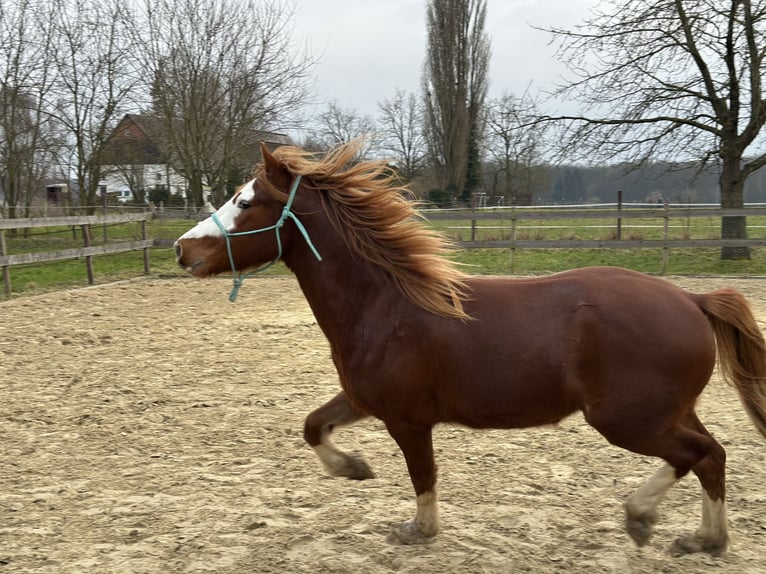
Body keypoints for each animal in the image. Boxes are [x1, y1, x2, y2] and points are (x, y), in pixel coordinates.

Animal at [177, 141, 766, 560]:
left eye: (245, 202)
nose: (184, 250)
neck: (384, 306)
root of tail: (692, 299)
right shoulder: (364, 400)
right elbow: (312, 426)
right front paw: (354, 468)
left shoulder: (408, 418)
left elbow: (423, 475)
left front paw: (418, 530)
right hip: (668, 412)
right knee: (712, 456)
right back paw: (701, 539)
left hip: (628, 419)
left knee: (699, 455)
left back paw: (645, 518)